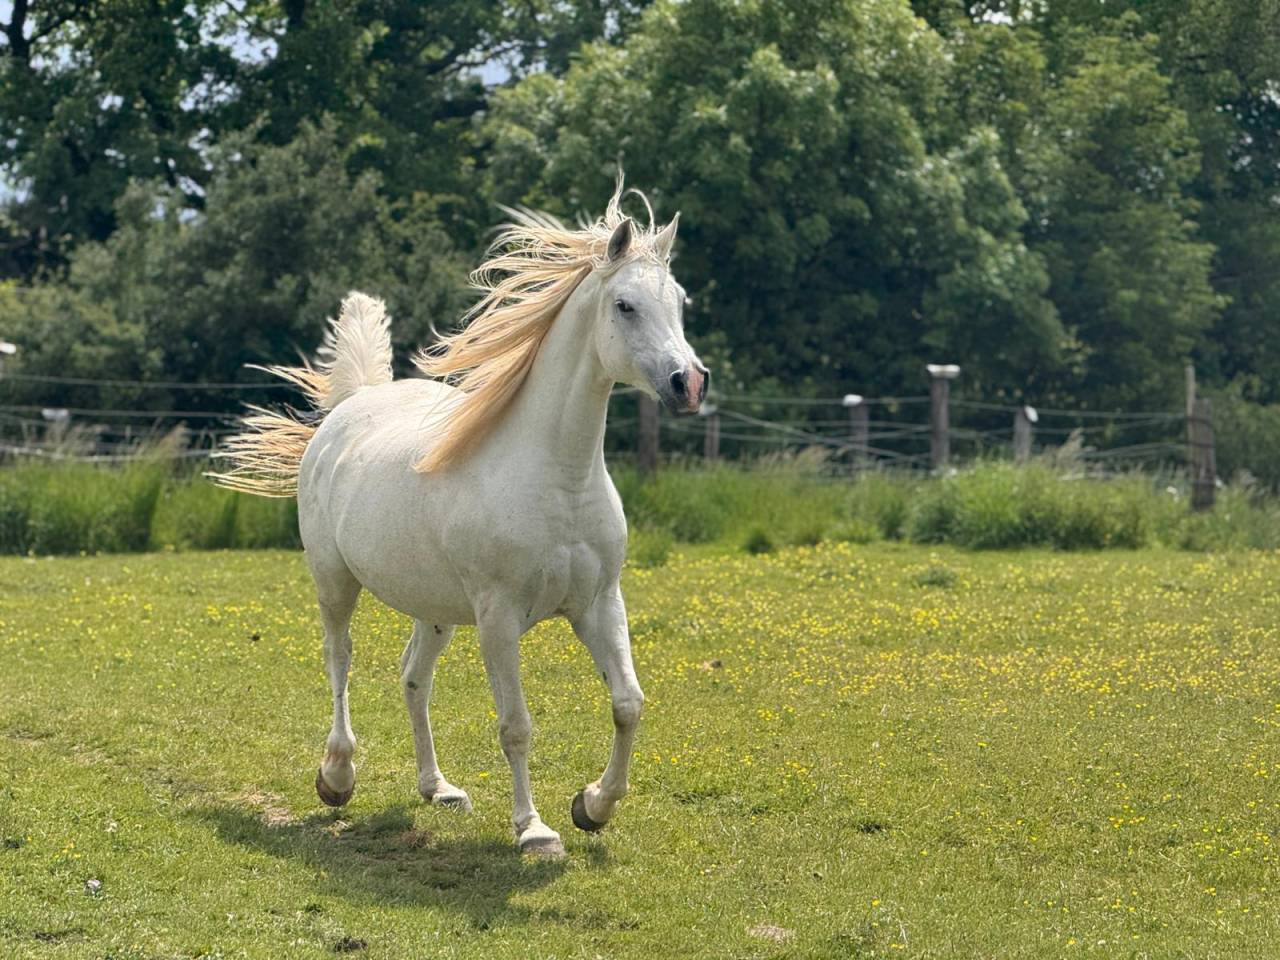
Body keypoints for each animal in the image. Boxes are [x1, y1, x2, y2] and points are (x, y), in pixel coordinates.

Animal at [211, 184, 708, 858]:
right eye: (625, 305)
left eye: (679, 302)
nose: (689, 384)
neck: (559, 477)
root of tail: (348, 410)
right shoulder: (498, 618)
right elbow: (516, 725)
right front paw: (534, 829)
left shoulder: (600, 603)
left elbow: (629, 704)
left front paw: (593, 806)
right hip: (334, 582)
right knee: (339, 660)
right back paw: (337, 776)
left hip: (436, 608)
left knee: (413, 679)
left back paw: (437, 788)